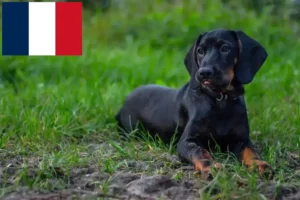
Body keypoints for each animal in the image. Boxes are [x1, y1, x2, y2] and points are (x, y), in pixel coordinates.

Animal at [115, 27, 274, 177]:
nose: (204, 72)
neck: (219, 100)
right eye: (200, 51)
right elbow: (200, 152)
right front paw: (212, 166)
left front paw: (260, 164)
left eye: (225, 48)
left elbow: (251, 153)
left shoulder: (242, 140)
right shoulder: (187, 141)